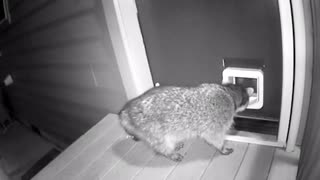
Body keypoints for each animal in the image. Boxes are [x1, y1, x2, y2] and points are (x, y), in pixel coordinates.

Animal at [119, 83, 251, 162]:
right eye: (248, 100)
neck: (229, 92)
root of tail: (127, 110)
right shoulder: (219, 118)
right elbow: (214, 137)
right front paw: (222, 147)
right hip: (152, 128)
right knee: (162, 144)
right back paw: (170, 152)